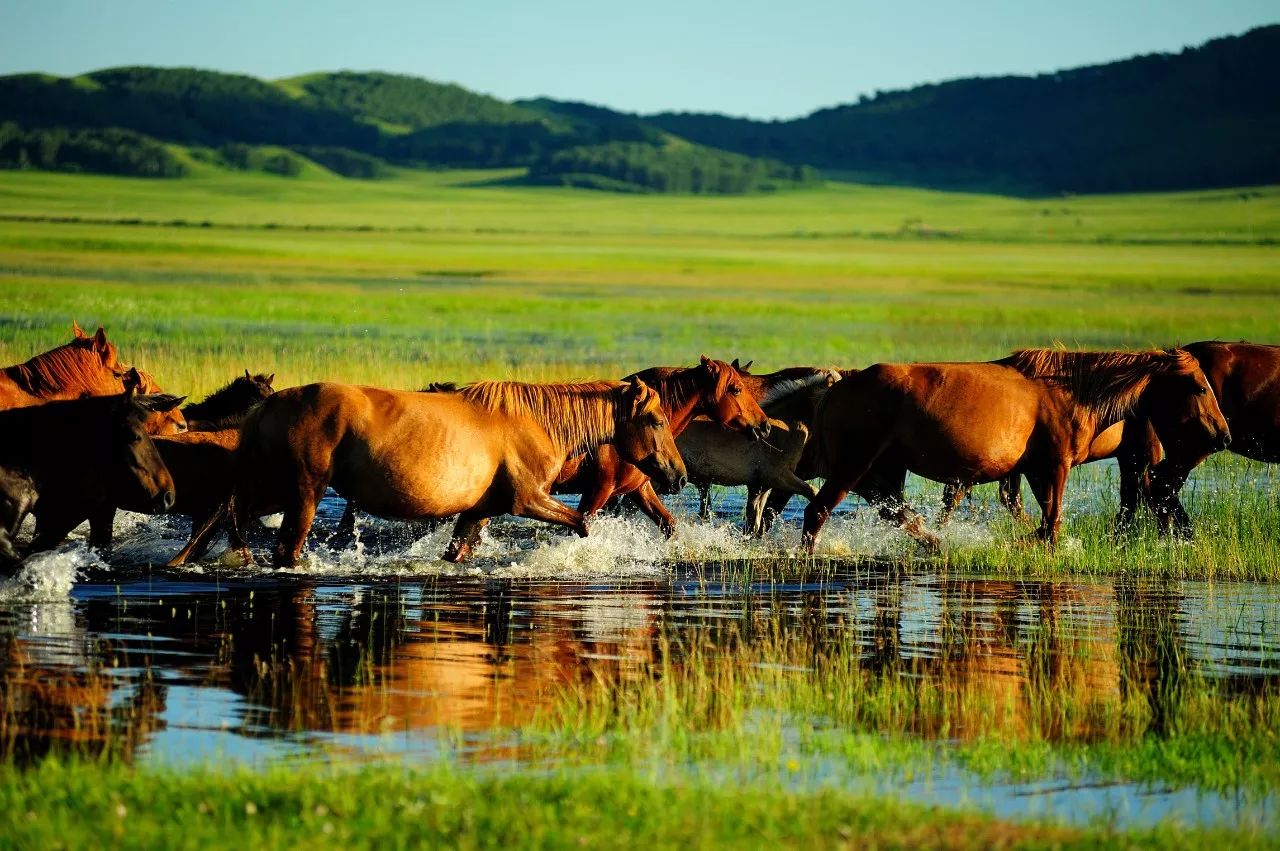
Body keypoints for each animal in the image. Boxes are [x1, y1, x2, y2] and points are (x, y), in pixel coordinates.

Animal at [230, 376, 691, 563]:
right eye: (655, 420)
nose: (678, 475)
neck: (538, 422)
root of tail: (265, 406)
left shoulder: (479, 511)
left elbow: (457, 552)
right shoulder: (529, 500)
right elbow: (582, 524)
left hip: (270, 493)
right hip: (303, 494)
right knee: (284, 548)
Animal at [798, 350, 1228, 555]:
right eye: (1199, 387)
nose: (1222, 435)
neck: (1075, 392)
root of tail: (838, 386)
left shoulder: (1035, 470)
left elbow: (1042, 522)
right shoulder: (1055, 466)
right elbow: (1050, 524)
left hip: (884, 470)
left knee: (897, 513)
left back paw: (936, 543)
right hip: (853, 465)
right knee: (817, 510)